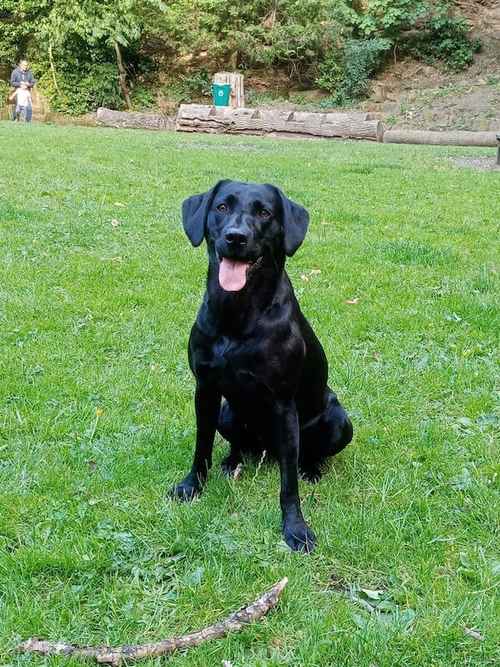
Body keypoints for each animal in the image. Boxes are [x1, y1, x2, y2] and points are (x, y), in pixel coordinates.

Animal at [174, 180, 354, 552]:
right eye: (222, 207)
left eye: (265, 213)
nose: (235, 237)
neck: (237, 314)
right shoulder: (205, 390)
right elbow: (202, 445)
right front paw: (192, 485)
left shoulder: (283, 404)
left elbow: (288, 485)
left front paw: (295, 528)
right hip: (227, 413)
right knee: (238, 443)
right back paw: (232, 461)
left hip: (339, 421)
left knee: (304, 455)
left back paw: (311, 469)